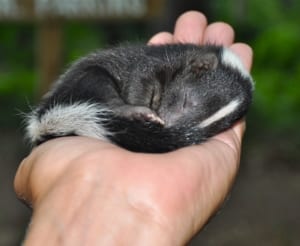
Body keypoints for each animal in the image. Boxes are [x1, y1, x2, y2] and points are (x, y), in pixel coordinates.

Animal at [25, 43, 254, 153]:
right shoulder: (156, 62)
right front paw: (144, 109)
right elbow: (138, 80)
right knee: (101, 85)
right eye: (186, 101)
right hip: (83, 81)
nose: (168, 126)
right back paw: (135, 112)